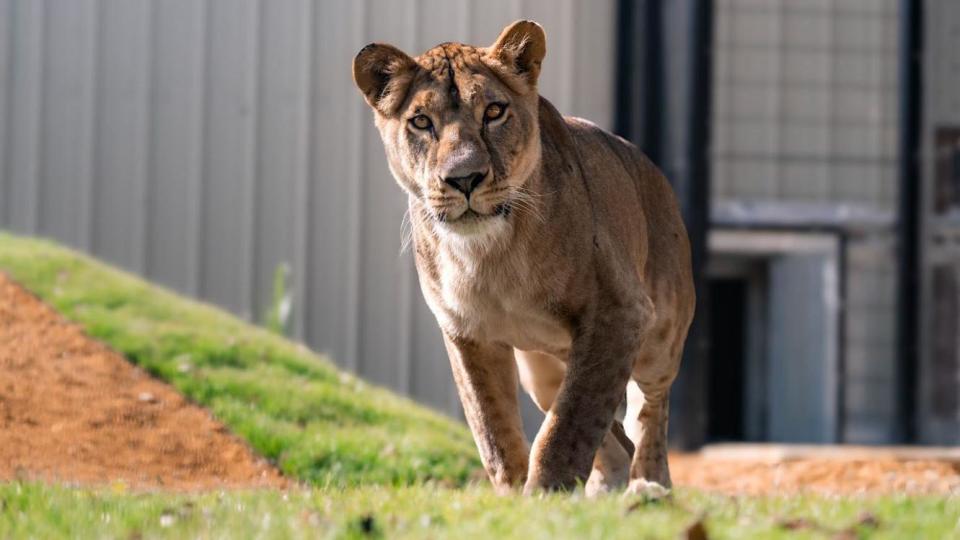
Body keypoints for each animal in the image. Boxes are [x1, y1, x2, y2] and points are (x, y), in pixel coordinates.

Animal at [350, 19, 688, 496]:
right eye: (420, 121)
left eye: (494, 112)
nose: (464, 178)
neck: (489, 256)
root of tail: (651, 169)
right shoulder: (467, 333)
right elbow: (493, 428)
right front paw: (514, 497)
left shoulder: (620, 312)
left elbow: (570, 422)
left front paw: (545, 491)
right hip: (545, 369)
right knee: (608, 430)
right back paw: (605, 490)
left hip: (657, 338)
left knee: (649, 409)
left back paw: (650, 484)